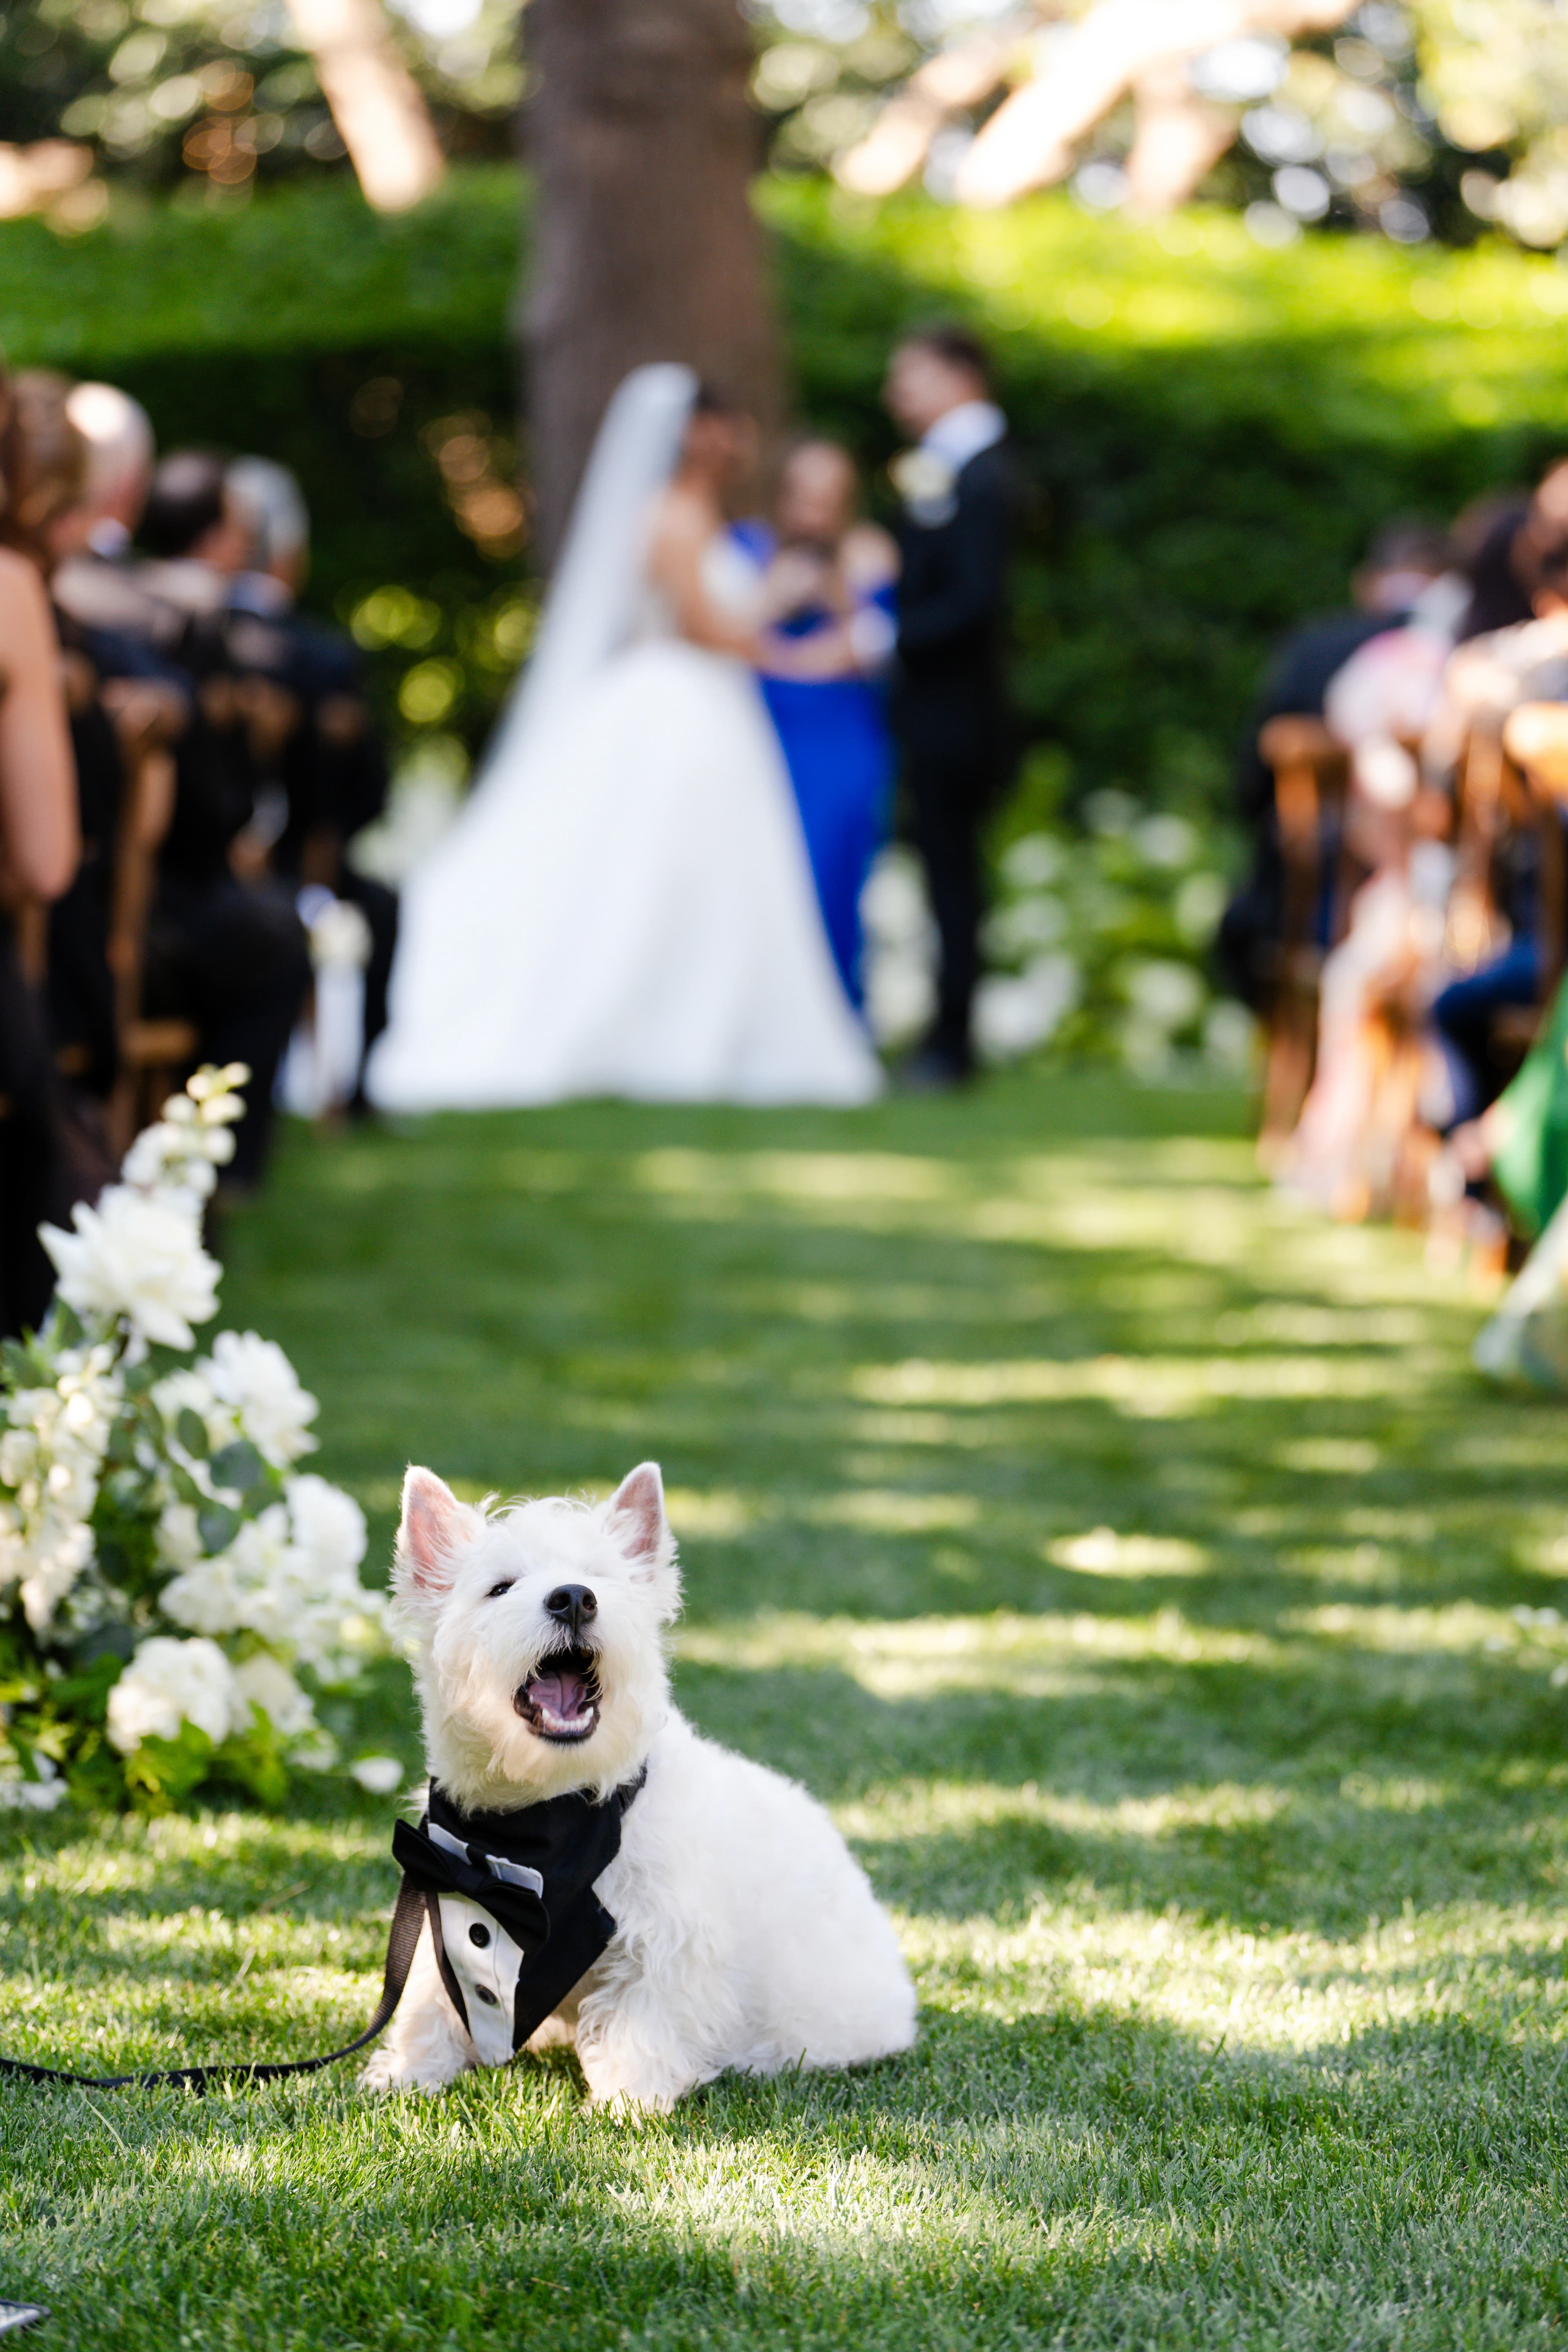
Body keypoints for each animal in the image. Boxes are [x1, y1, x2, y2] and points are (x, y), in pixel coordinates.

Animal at [362, 1460, 917, 2109]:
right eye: (500, 1588)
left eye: (600, 1579)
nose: (575, 1599)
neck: (544, 1814)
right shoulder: (444, 1905)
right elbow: (431, 1998)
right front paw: (411, 2071)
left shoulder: (665, 1938)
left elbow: (640, 2020)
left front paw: (629, 2100)